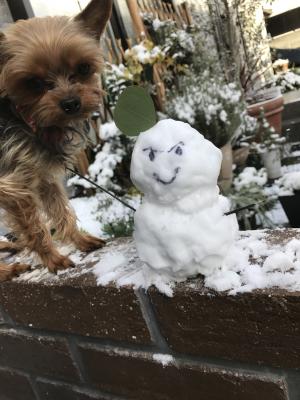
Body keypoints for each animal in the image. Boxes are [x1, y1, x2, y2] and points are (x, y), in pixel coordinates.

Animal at [0, 0, 112, 282]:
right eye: (33, 82)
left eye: (83, 68)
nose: (71, 103)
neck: (22, 118)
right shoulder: (11, 186)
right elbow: (35, 228)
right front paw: (53, 259)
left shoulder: (41, 174)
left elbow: (61, 210)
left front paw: (80, 240)